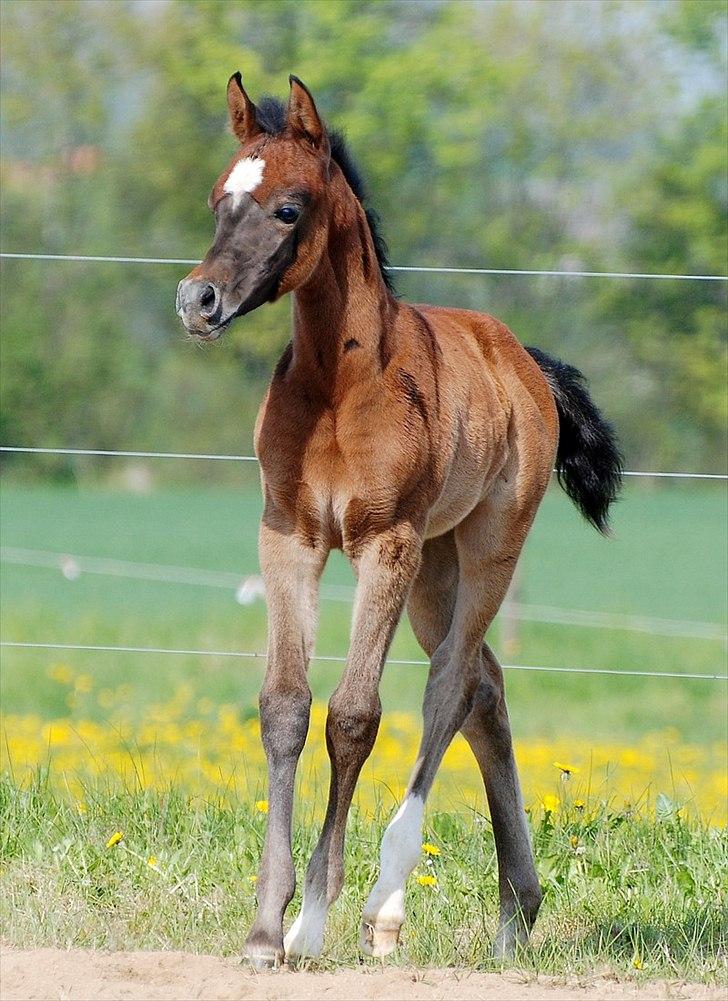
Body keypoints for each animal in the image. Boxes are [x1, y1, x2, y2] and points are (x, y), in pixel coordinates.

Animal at [178, 74, 620, 964]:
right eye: (216, 200)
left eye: (288, 208)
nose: (198, 300)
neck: (339, 386)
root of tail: (523, 361)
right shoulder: (290, 536)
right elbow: (285, 706)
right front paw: (265, 926)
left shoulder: (385, 543)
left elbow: (354, 714)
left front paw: (315, 918)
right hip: (434, 570)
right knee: (486, 687)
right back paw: (516, 911)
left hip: (483, 547)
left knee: (450, 685)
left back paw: (388, 903)